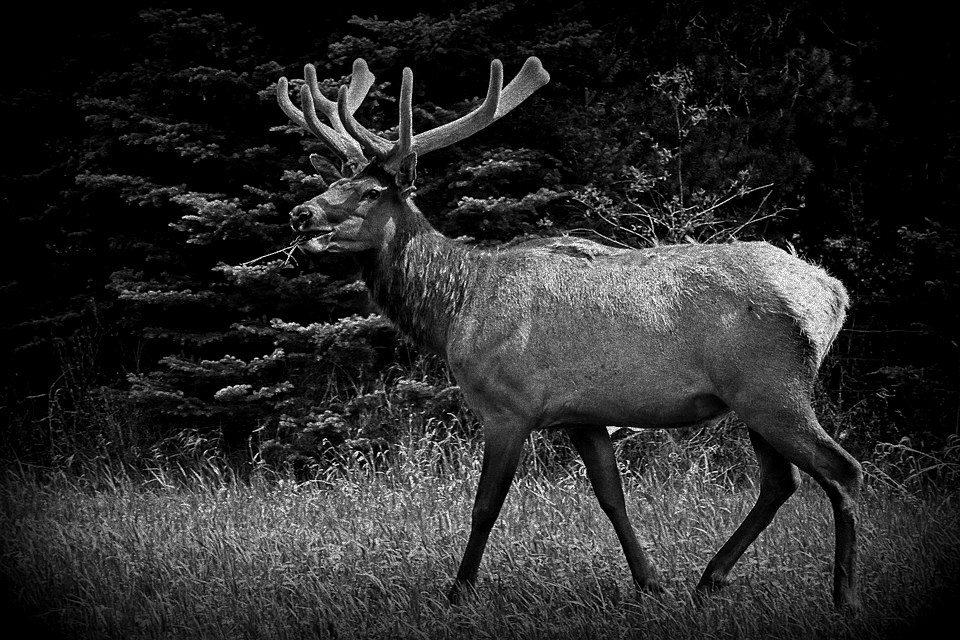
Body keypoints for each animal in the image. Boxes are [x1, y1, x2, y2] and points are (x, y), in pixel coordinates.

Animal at [276, 56, 864, 608]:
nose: (301, 212)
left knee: (841, 470)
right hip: (752, 397)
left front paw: (458, 592)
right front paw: (651, 583)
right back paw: (709, 578)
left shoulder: (508, 407)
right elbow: (611, 497)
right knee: (781, 481)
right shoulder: (583, 414)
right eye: (332, 181)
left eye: (371, 191)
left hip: (772, 387)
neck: (455, 309)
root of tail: (833, 295)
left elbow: (485, 506)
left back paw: (842, 595)